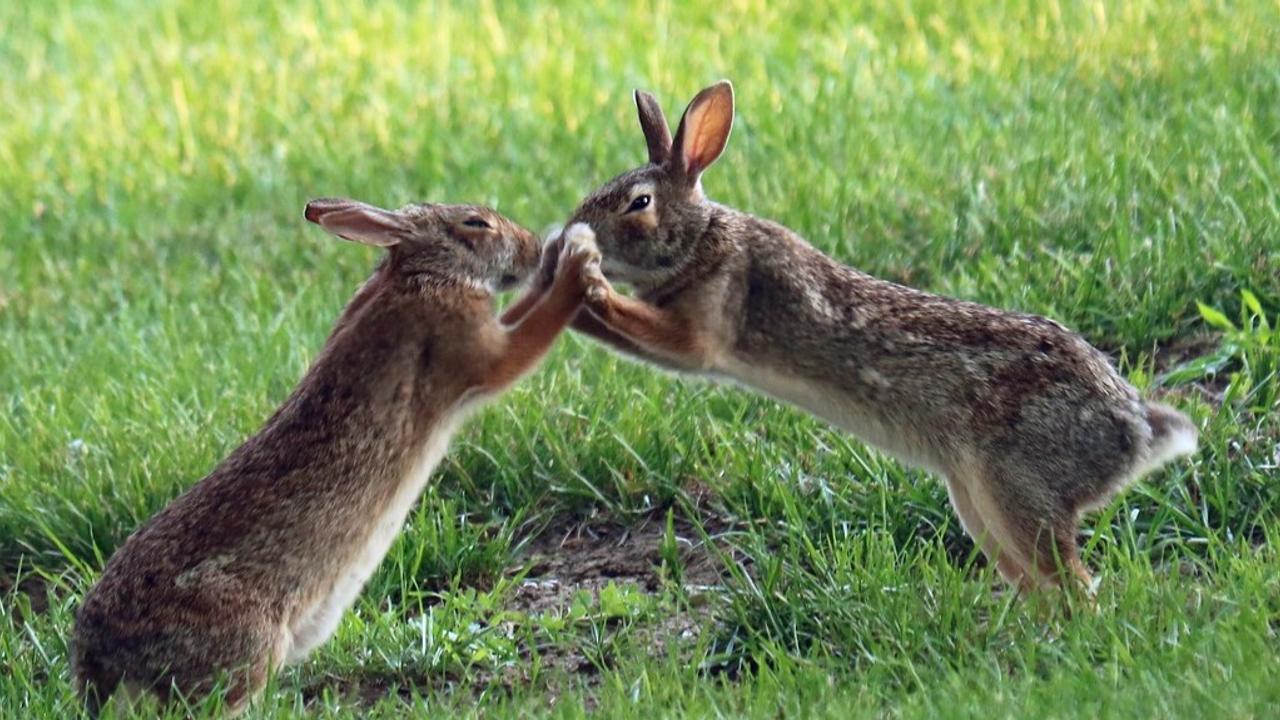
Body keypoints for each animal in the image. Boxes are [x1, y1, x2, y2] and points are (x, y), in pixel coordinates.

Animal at [72, 196, 601, 712]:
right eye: (476, 223)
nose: (533, 246)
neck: (422, 273)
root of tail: (100, 657)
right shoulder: (470, 346)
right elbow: (531, 334)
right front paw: (575, 266)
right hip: (248, 646)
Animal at [560, 81, 1198, 591]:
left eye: (639, 202)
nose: (572, 229)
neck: (699, 240)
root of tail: (1135, 431)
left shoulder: (702, 330)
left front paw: (580, 285)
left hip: (1018, 491)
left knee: (1075, 589)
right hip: (979, 505)